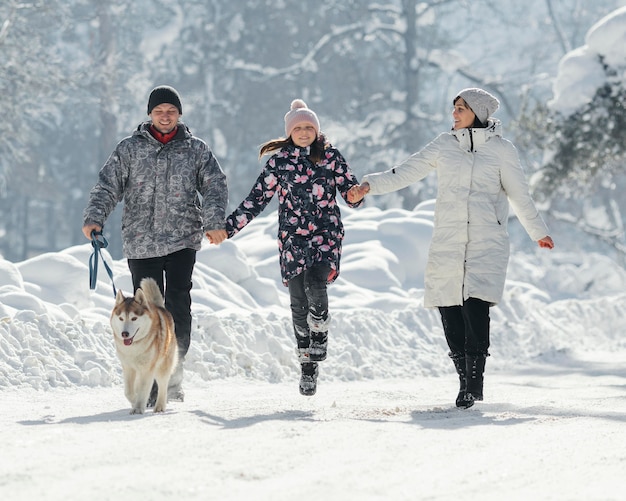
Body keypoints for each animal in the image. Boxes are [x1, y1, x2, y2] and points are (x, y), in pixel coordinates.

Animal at [109, 278, 177, 414]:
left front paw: (138, 408)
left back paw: (160, 406)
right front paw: (135, 402)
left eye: (134, 318)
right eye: (121, 318)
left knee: (163, 385)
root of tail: (160, 308)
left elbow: (143, 389)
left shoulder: (147, 369)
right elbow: (129, 391)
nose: (124, 334)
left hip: (162, 366)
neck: (134, 348)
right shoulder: (128, 368)